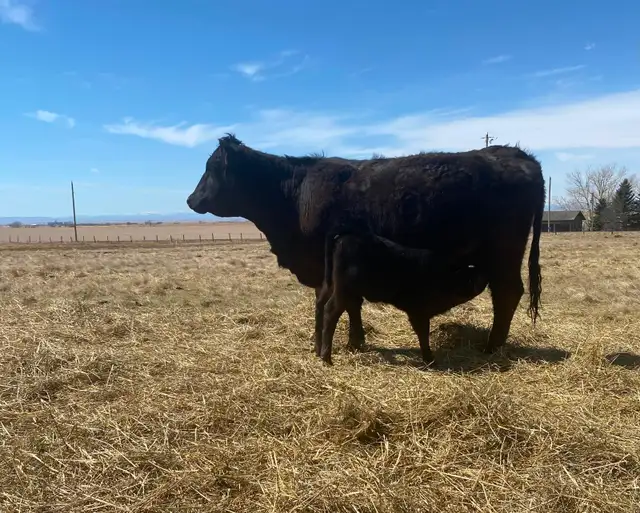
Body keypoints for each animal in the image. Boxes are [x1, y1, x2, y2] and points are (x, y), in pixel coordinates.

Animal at [317, 226, 489, 365]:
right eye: (469, 275)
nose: (484, 274)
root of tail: (345, 235)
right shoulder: (418, 311)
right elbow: (423, 333)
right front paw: (430, 359)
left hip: (331, 285)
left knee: (321, 301)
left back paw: (320, 350)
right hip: (343, 290)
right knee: (331, 310)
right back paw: (327, 358)